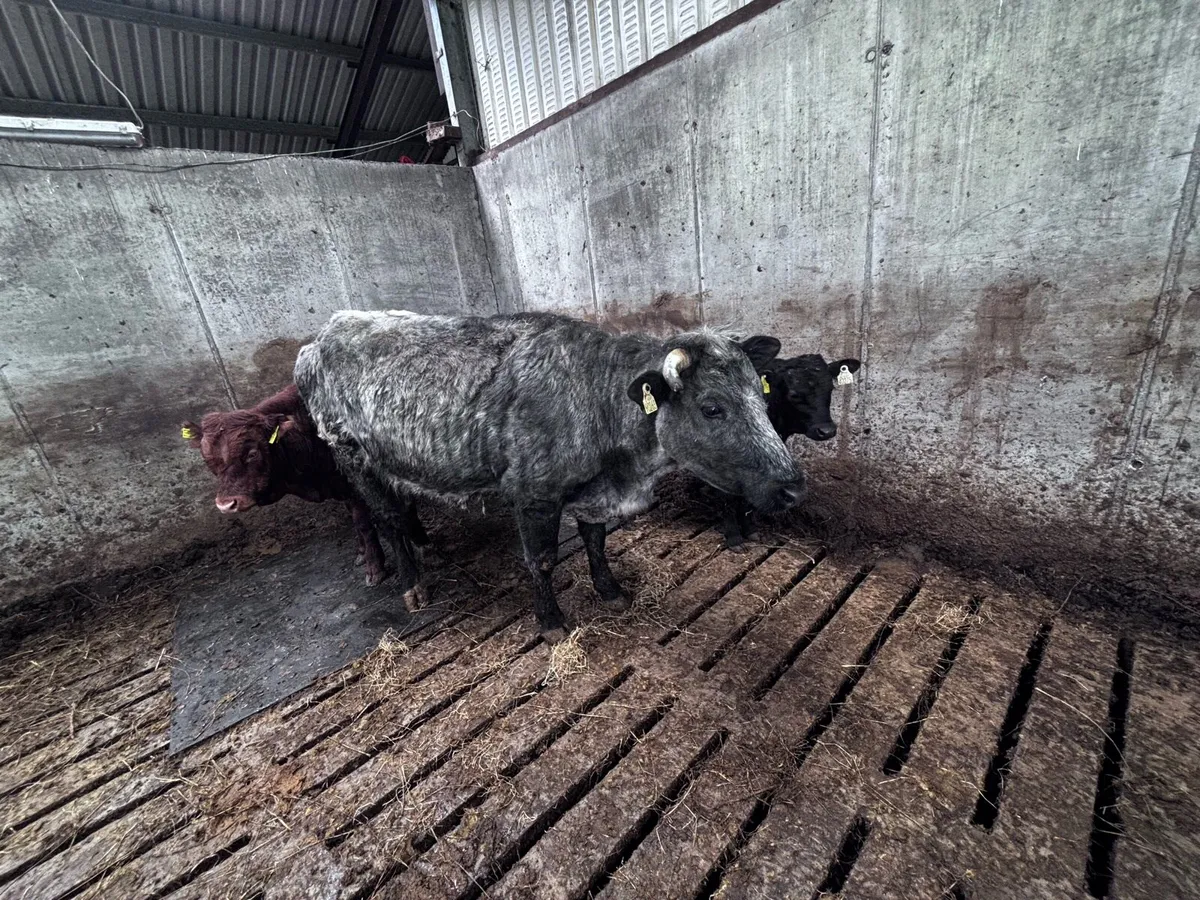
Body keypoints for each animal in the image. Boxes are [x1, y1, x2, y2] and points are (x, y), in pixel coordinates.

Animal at [180, 383, 429, 586]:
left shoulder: (354, 487)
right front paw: (361, 554)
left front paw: (375, 568)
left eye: (251, 453)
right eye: (207, 459)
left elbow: (364, 525)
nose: (226, 504)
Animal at [295, 310, 803, 642]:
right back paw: (411, 583)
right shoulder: (532, 494)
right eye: (712, 407)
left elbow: (597, 541)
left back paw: (424, 545)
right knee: (388, 518)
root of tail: (323, 333)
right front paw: (551, 622)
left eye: (761, 396)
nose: (793, 486)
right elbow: (540, 560)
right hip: (352, 456)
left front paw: (610, 591)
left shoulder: (593, 494)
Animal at [718, 337, 861, 548]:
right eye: (794, 394)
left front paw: (750, 530)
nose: (826, 431)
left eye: (831, 388)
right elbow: (727, 495)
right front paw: (733, 537)